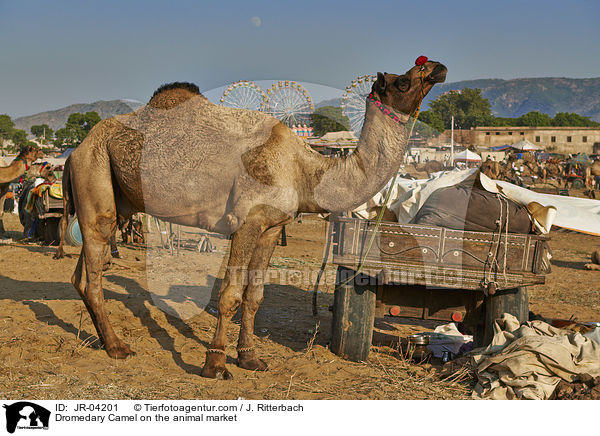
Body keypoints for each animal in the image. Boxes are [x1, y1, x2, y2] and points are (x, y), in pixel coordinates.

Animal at [62, 58, 446, 378]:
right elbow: (230, 295)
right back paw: (117, 347)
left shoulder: (272, 227)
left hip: (113, 195)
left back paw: (104, 339)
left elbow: (255, 296)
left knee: (81, 275)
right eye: (402, 80)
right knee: (94, 269)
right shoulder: (247, 222)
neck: (304, 169)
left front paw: (249, 358)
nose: (437, 68)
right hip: (95, 177)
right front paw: (215, 364)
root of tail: (74, 151)